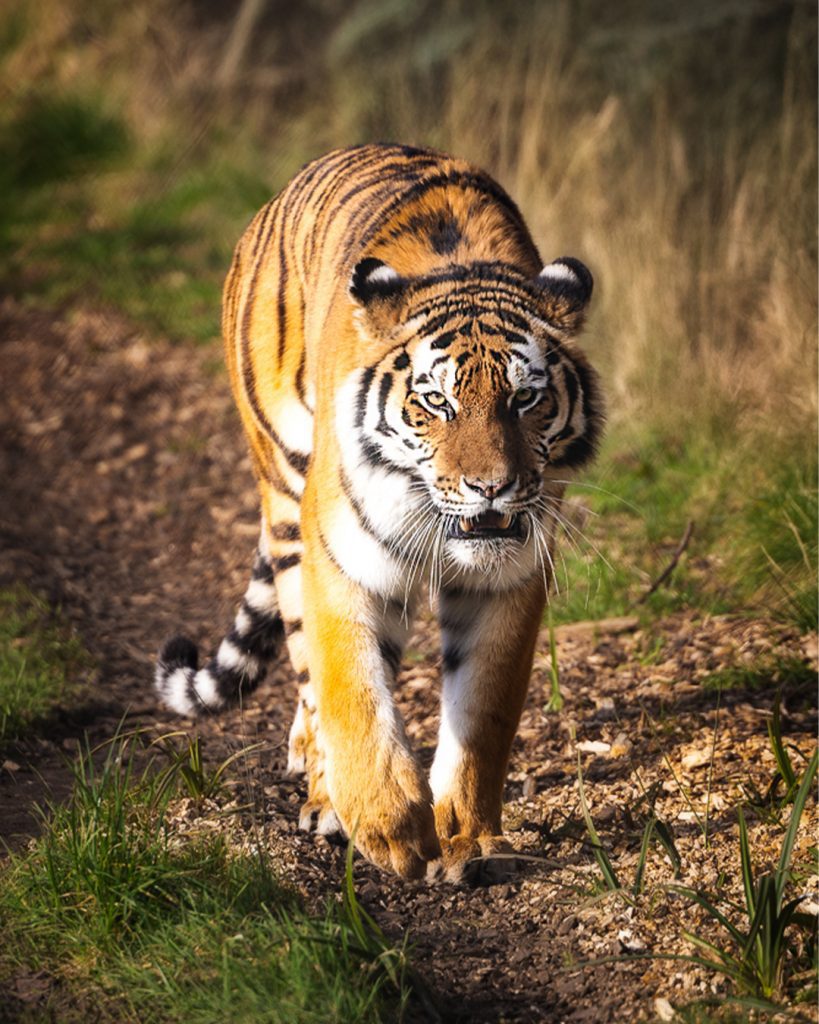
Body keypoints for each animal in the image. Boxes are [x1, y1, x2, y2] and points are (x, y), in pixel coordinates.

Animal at [155, 142, 603, 881]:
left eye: (525, 398)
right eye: (436, 401)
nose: (491, 487)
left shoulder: (507, 579)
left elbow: (484, 712)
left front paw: (463, 836)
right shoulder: (345, 562)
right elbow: (350, 692)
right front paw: (389, 827)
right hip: (286, 497)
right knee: (310, 676)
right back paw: (324, 796)